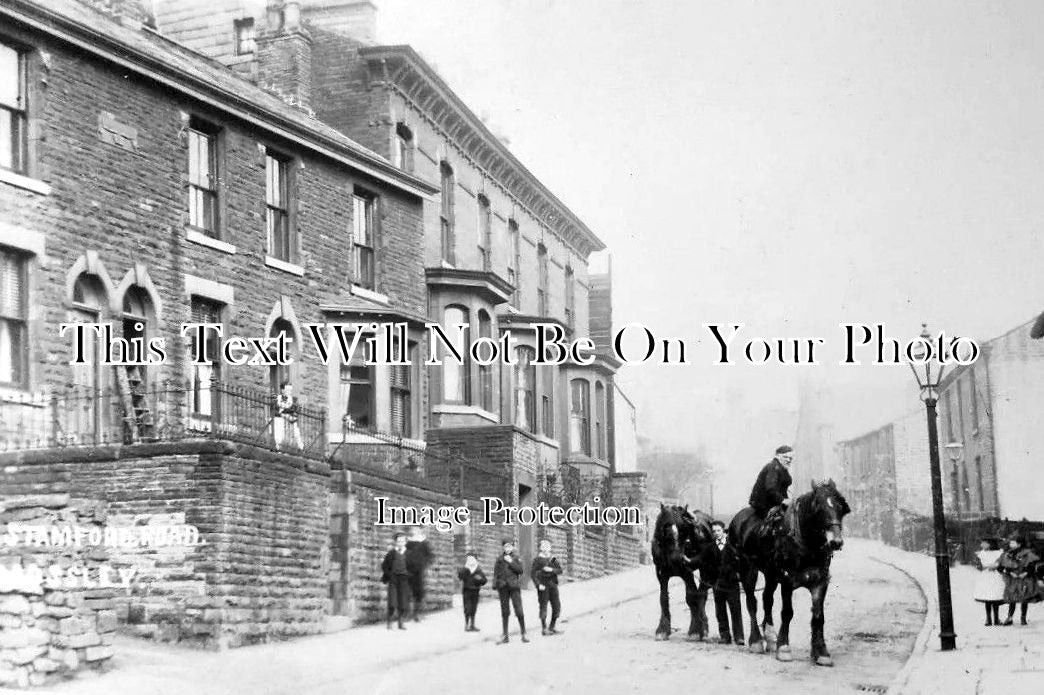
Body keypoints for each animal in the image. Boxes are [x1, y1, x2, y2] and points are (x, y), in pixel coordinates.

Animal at [647, 498, 714, 638]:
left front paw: (695, 630)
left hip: (705, 567)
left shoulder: (686, 572)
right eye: (666, 530)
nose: (678, 559)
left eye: (684, 530)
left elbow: (691, 597)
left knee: (701, 594)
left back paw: (703, 625)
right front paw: (663, 630)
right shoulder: (661, 574)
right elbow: (663, 598)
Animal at [726, 475, 847, 659]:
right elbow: (787, 612)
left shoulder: (821, 581)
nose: (836, 541)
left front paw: (821, 652)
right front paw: (783, 647)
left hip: (770, 574)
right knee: (751, 602)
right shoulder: (787, 579)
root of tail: (736, 519)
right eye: (819, 508)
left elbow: (818, 616)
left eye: (840, 506)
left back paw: (770, 637)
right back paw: (756, 641)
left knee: (767, 599)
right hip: (748, 570)